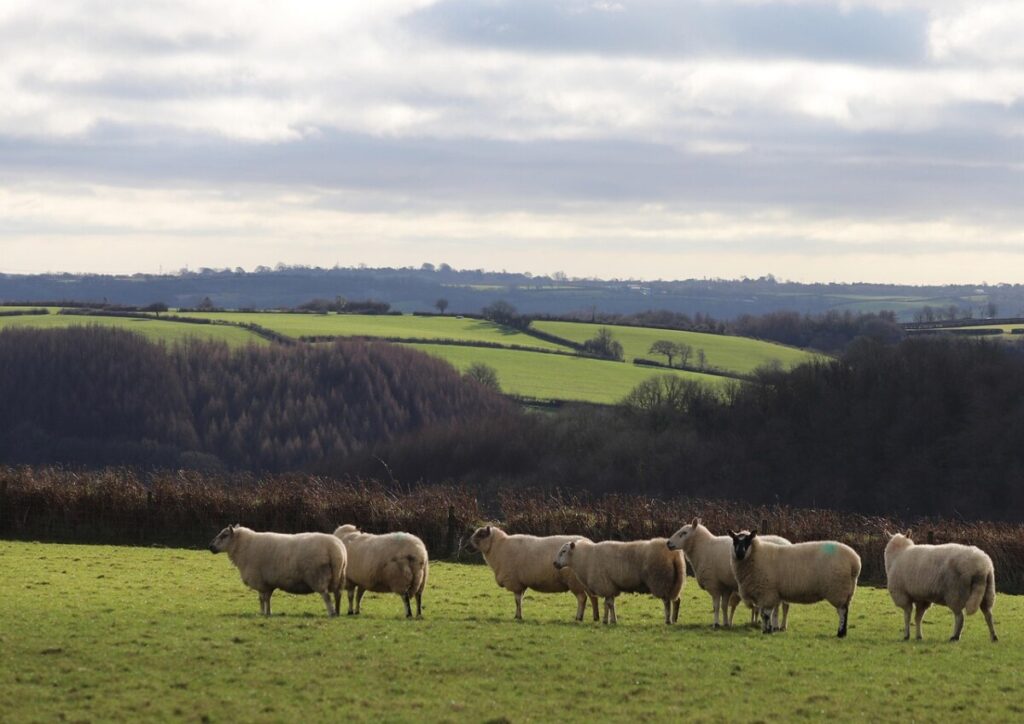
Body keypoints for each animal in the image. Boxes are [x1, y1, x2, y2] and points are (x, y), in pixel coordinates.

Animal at [208, 524, 346, 616]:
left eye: (224, 535)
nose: (210, 547)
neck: (243, 547)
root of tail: (336, 550)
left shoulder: (260, 581)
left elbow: (261, 599)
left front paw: (262, 613)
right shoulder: (268, 583)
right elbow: (268, 598)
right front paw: (268, 613)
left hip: (318, 576)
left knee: (326, 596)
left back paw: (331, 613)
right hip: (339, 576)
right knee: (337, 595)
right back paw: (337, 612)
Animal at [469, 525, 599, 621]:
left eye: (480, 534)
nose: (468, 546)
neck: (499, 548)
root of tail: (590, 543)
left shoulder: (515, 582)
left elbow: (517, 601)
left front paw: (518, 617)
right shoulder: (521, 584)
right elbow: (520, 601)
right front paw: (518, 615)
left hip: (574, 581)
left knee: (582, 598)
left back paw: (579, 617)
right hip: (584, 581)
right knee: (593, 598)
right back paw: (595, 617)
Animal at [553, 538, 685, 625]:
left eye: (564, 551)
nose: (554, 563)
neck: (584, 558)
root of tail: (674, 555)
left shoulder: (604, 584)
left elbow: (609, 604)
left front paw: (611, 620)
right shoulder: (609, 586)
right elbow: (608, 603)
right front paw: (608, 620)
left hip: (661, 580)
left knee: (667, 602)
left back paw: (668, 620)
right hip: (674, 582)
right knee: (676, 600)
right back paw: (674, 619)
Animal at [728, 529, 860, 637]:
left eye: (748, 540)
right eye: (734, 541)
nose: (740, 553)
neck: (755, 556)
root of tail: (855, 561)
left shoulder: (767, 592)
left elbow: (766, 614)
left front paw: (768, 630)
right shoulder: (764, 594)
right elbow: (764, 614)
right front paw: (767, 629)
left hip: (838, 590)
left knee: (842, 611)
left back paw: (840, 633)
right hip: (848, 591)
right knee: (845, 610)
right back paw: (843, 632)